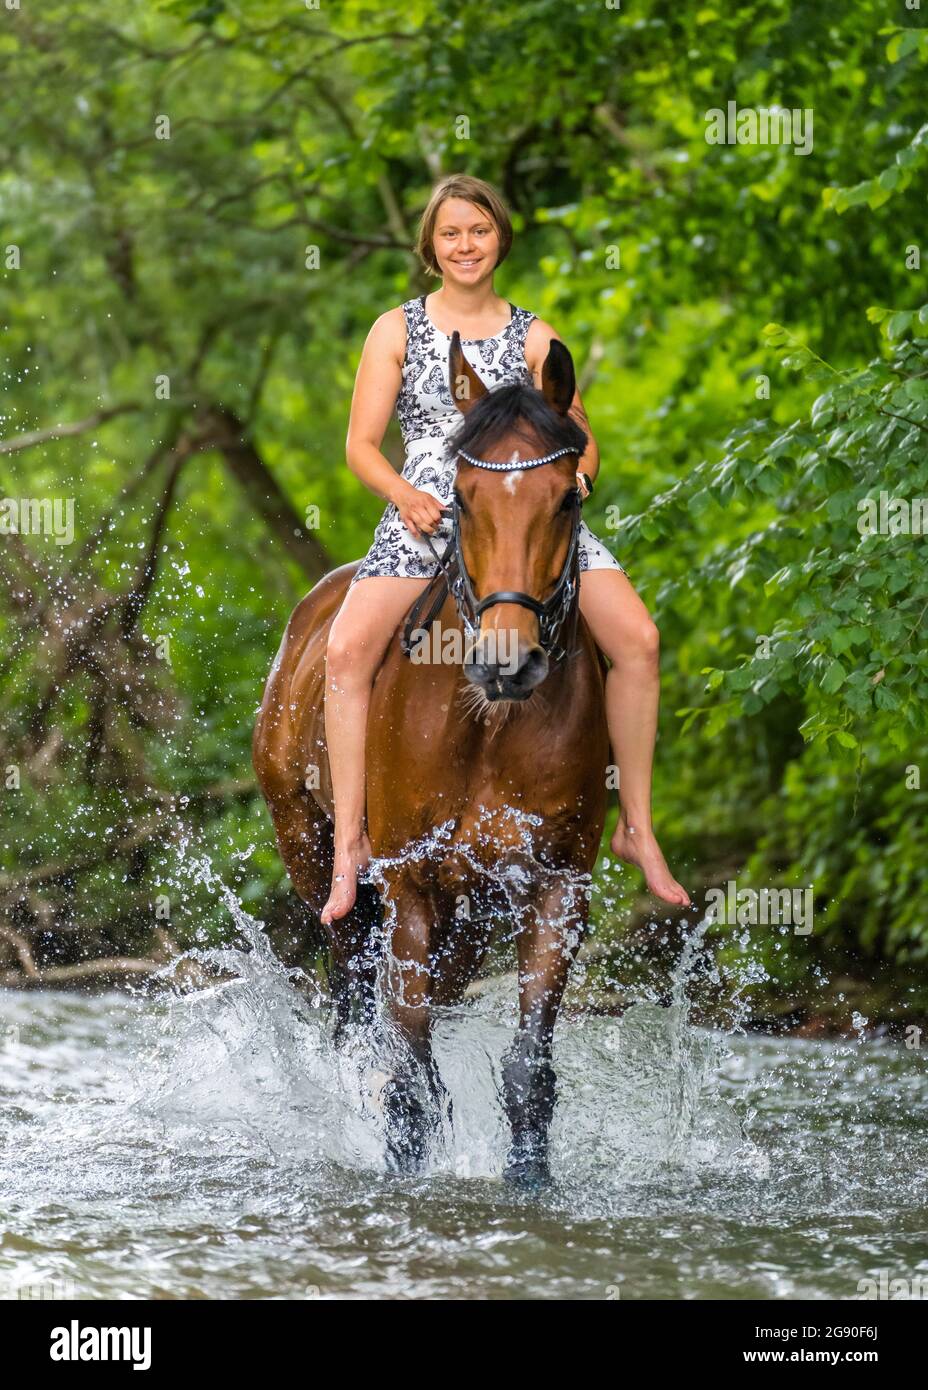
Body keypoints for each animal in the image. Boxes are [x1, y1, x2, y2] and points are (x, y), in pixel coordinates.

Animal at [252, 331, 610, 1183]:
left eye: (567, 498)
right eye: (463, 499)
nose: (506, 662)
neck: (486, 728)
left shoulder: (556, 888)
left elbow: (528, 1069)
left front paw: (528, 1180)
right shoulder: (410, 886)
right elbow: (410, 1078)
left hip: (471, 915)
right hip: (317, 860)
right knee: (355, 1007)